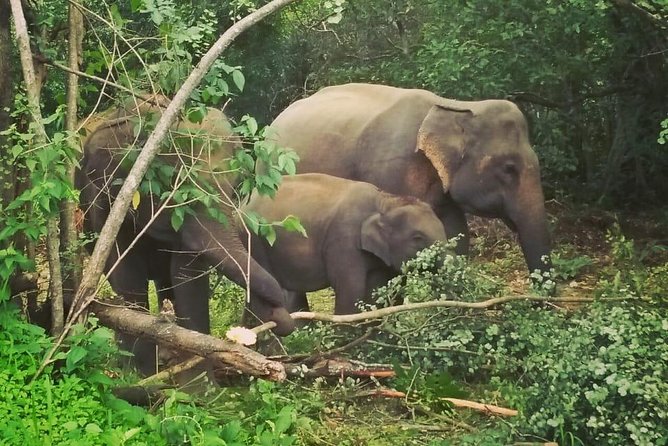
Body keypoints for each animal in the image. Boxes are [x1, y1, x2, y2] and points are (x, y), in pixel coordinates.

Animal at [76, 96, 295, 374]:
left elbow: (186, 277)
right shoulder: (106, 205)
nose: (278, 315)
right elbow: (127, 276)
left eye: (235, 186)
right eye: (175, 188)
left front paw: (197, 375)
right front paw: (142, 374)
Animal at [239, 173, 447, 316]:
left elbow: (375, 293)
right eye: (417, 238)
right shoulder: (344, 240)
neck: (385, 200)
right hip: (255, 241)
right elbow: (350, 291)